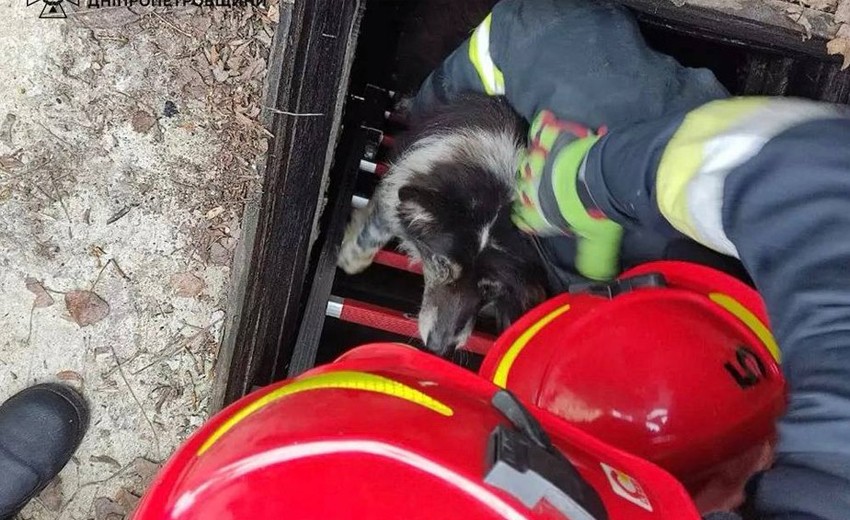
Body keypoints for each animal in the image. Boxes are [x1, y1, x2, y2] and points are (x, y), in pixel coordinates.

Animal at [334, 91, 548, 356]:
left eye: (489, 288)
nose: (438, 347)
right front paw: (351, 257)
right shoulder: (406, 173)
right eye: (442, 265)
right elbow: (379, 222)